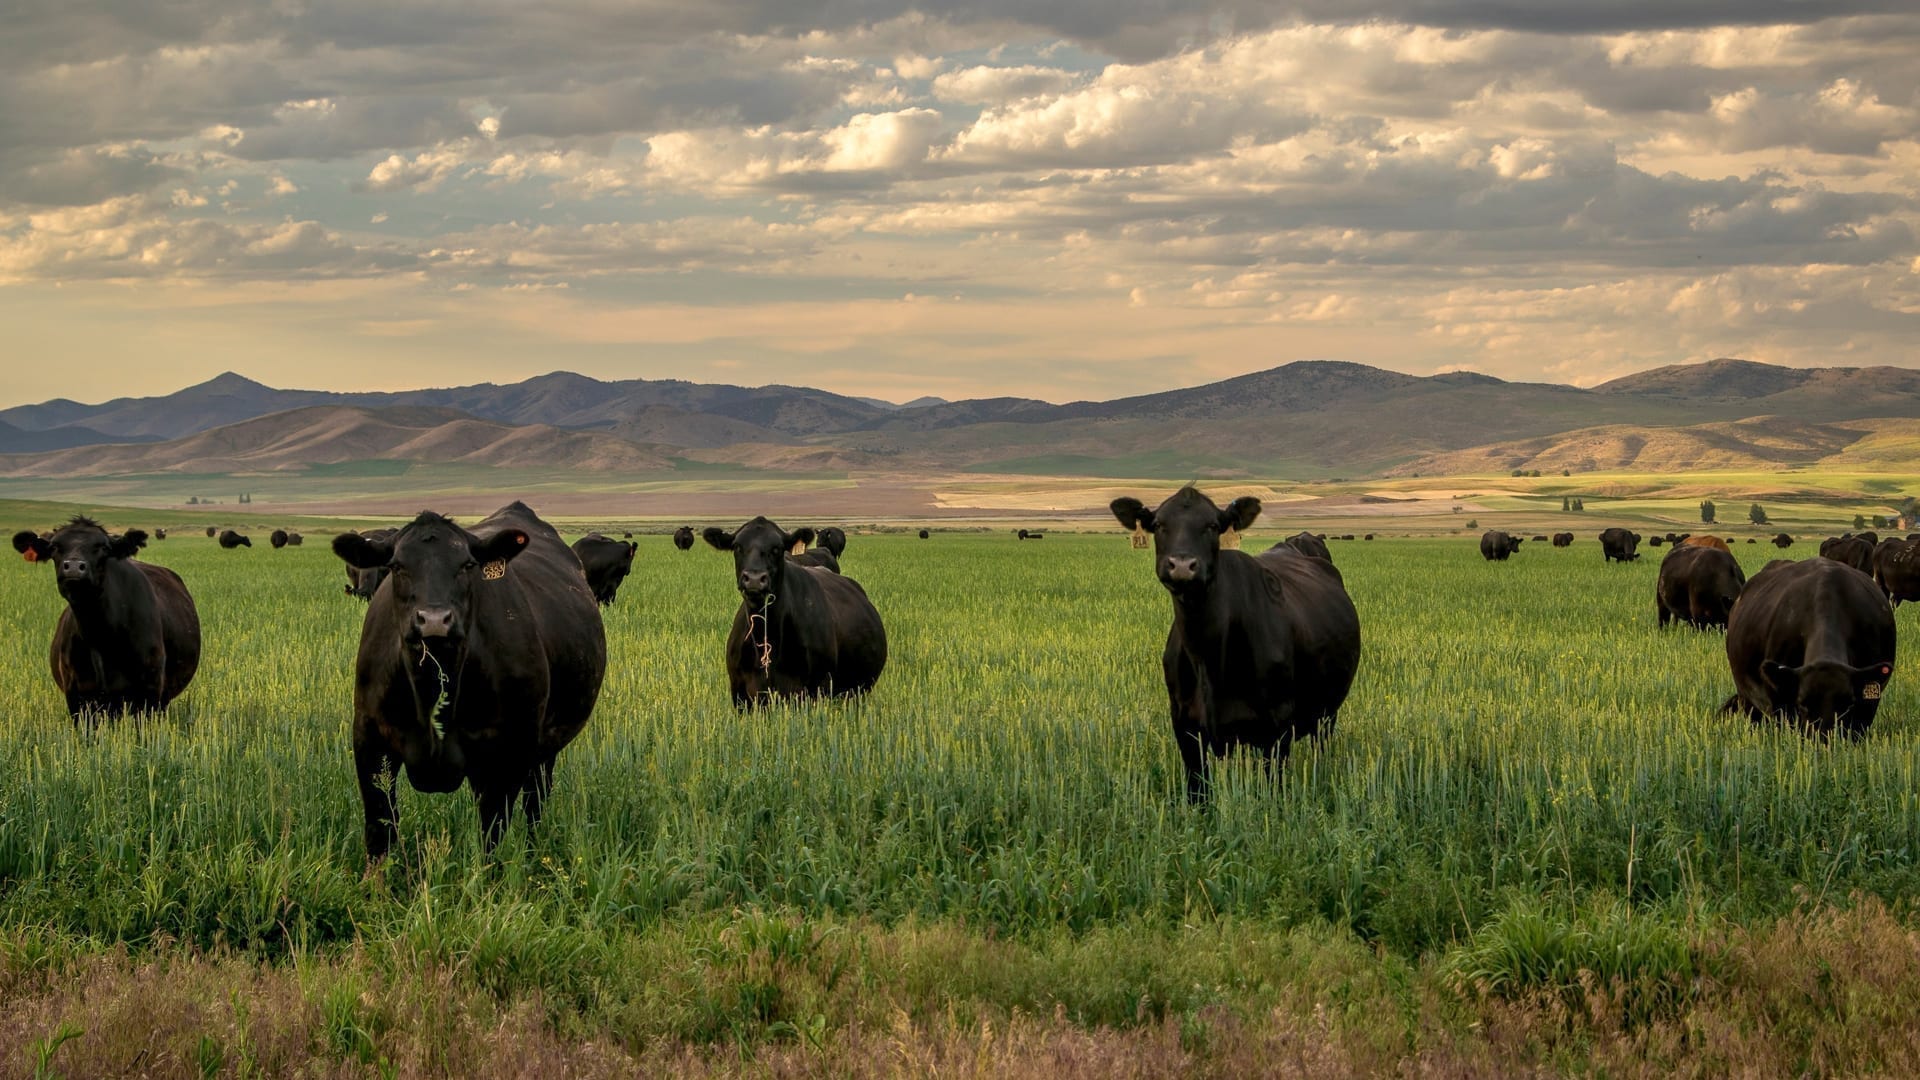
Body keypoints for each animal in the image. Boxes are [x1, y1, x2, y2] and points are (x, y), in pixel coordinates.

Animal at [11, 518, 202, 718]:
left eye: (102, 547)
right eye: (55, 546)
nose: (73, 567)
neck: (101, 636)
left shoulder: (149, 693)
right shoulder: (77, 696)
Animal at [334, 499, 606, 857]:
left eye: (467, 565)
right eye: (396, 566)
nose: (434, 619)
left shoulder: (507, 753)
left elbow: (492, 837)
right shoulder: (370, 739)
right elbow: (380, 832)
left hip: (544, 748)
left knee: (535, 803)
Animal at [702, 515, 887, 707]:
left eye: (777, 548)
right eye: (737, 546)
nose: (754, 579)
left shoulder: (812, 692)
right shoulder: (741, 695)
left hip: (855, 692)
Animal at [1113, 488, 1367, 799]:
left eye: (1212, 525)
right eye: (1159, 524)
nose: (1182, 565)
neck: (1209, 658)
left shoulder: (1277, 728)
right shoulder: (1185, 727)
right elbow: (1198, 794)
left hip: (1327, 713)